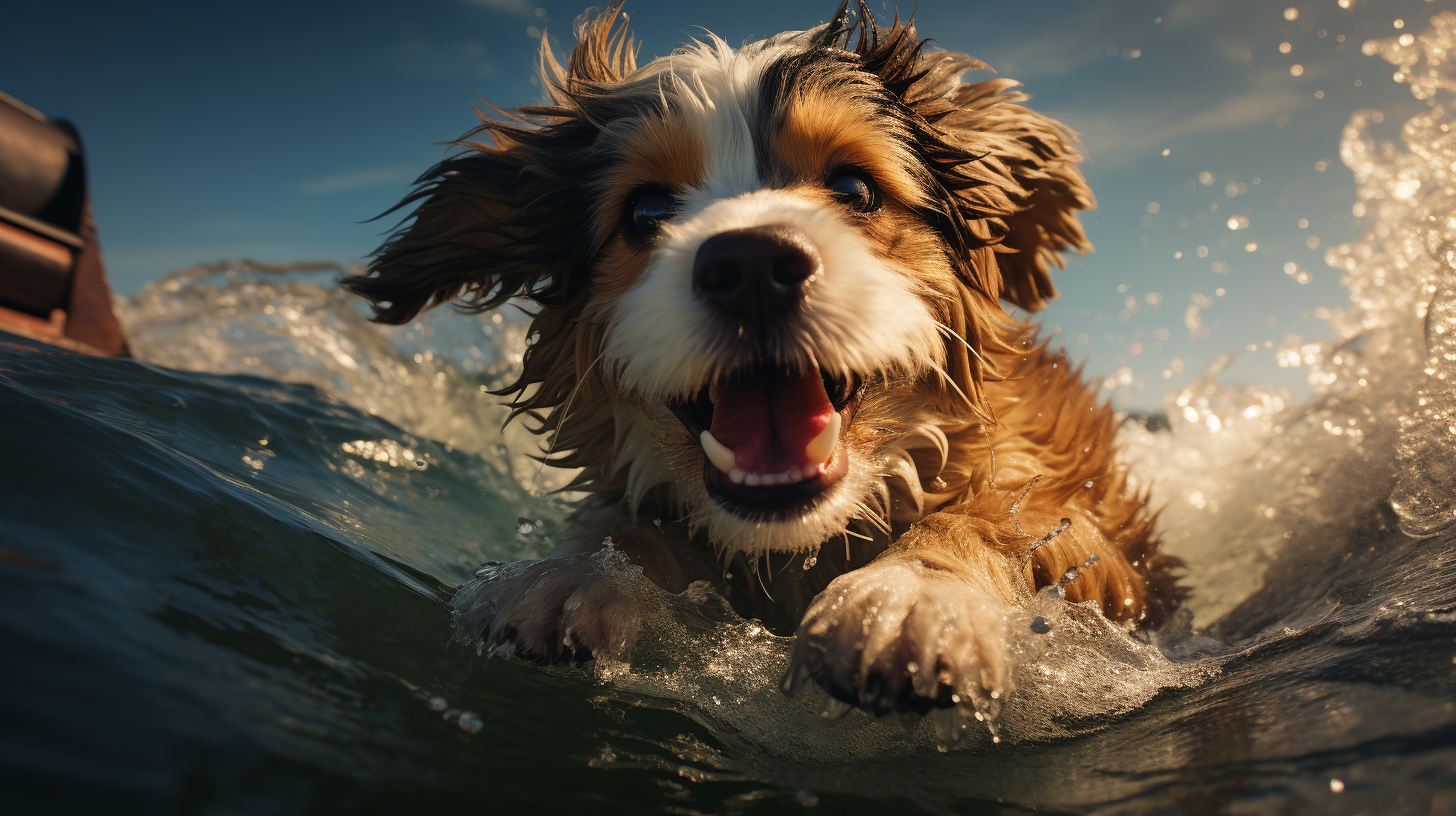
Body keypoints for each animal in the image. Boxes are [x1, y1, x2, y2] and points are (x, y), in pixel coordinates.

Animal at [343, 0, 1182, 714]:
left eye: (855, 187)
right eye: (645, 210)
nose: (749, 267)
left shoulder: (1091, 534)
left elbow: (997, 517)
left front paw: (913, 595)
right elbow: (622, 524)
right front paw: (570, 574)